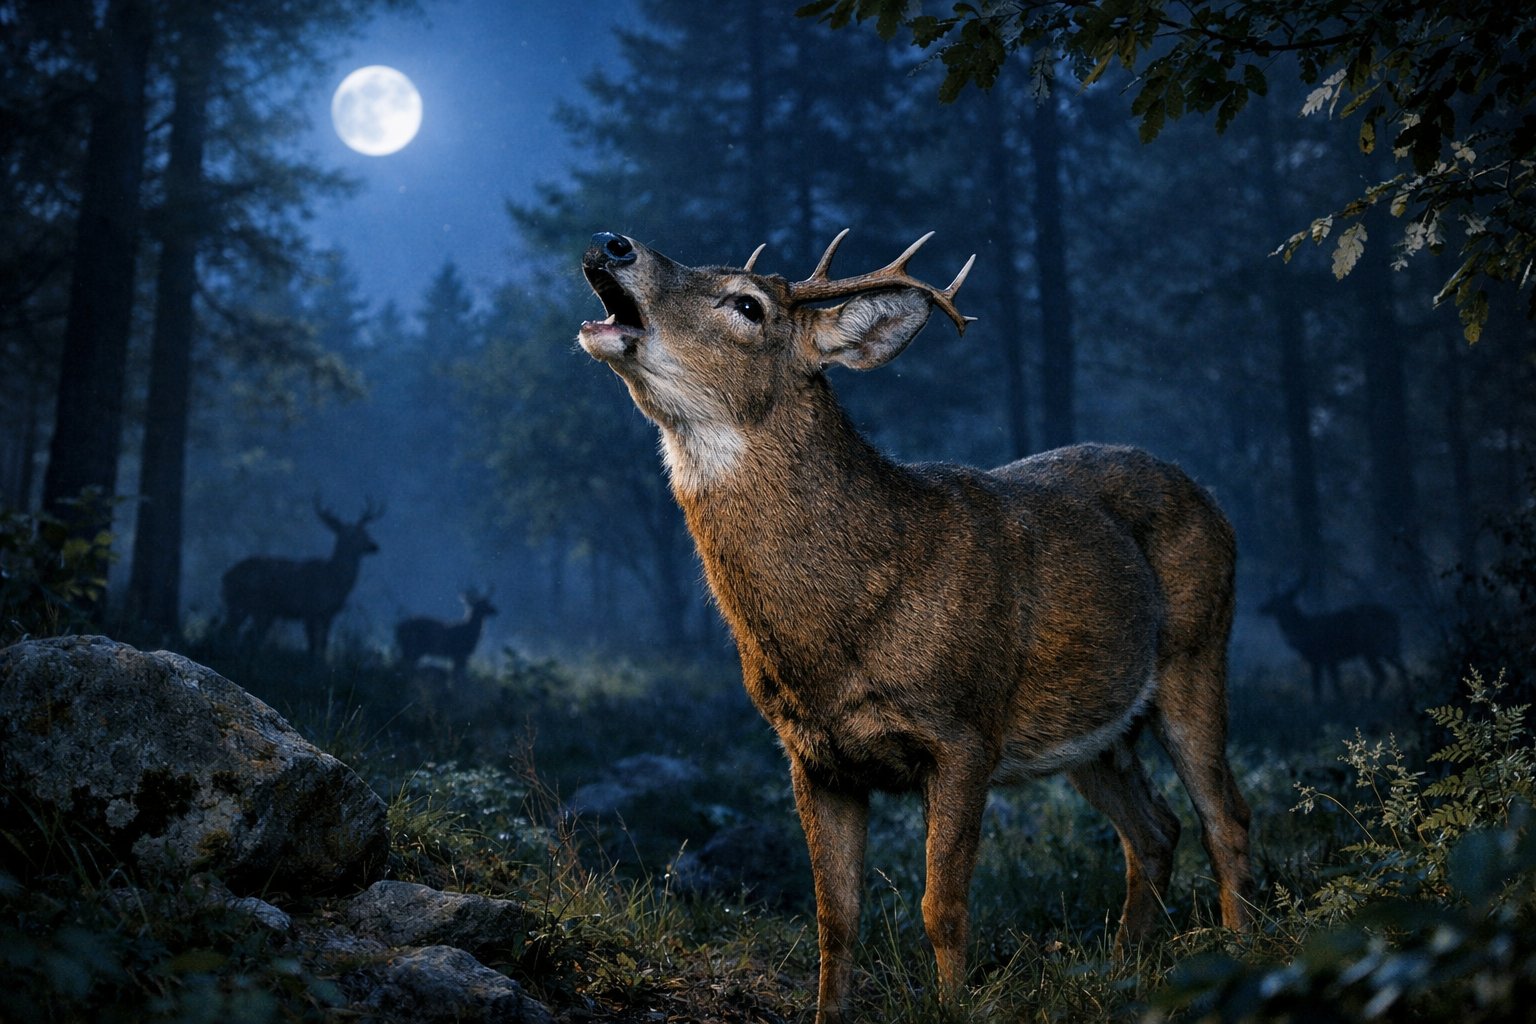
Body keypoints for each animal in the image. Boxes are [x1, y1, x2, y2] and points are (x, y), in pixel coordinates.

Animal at [220, 497, 384, 658]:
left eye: (364, 531)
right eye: (358, 534)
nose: (374, 546)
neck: (334, 581)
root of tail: (226, 576)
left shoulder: (328, 614)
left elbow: (323, 645)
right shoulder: (309, 609)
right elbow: (312, 646)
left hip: (252, 608)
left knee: (238, 633)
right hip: (245, 603)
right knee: (231, 632)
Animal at [575, 229, 1254, 1022]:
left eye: (748, 304)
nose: (613, 243)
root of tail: (1212, 498)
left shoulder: (965, 732)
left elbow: (942, 906)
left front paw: (954, 1004)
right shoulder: (811, 753)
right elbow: (835, 916)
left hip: (1198, 651)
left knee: (1225, 817)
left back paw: (1240, 953)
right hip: (1093, 729)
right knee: (1154, 830)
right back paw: (1125, 968)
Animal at [1258, 584, 1404, 702]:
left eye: (1274, 602)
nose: (1261, 608)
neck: (1303, 630)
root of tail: (1395, 618)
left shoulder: (1320, 658)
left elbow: (1320, 686)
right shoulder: (1330, 660)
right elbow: (1333, 685)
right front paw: (1339, 702)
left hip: (1372, 648)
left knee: (1382, 675)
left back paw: (1372, 699)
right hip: (1391, 646)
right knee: (1401, 669)